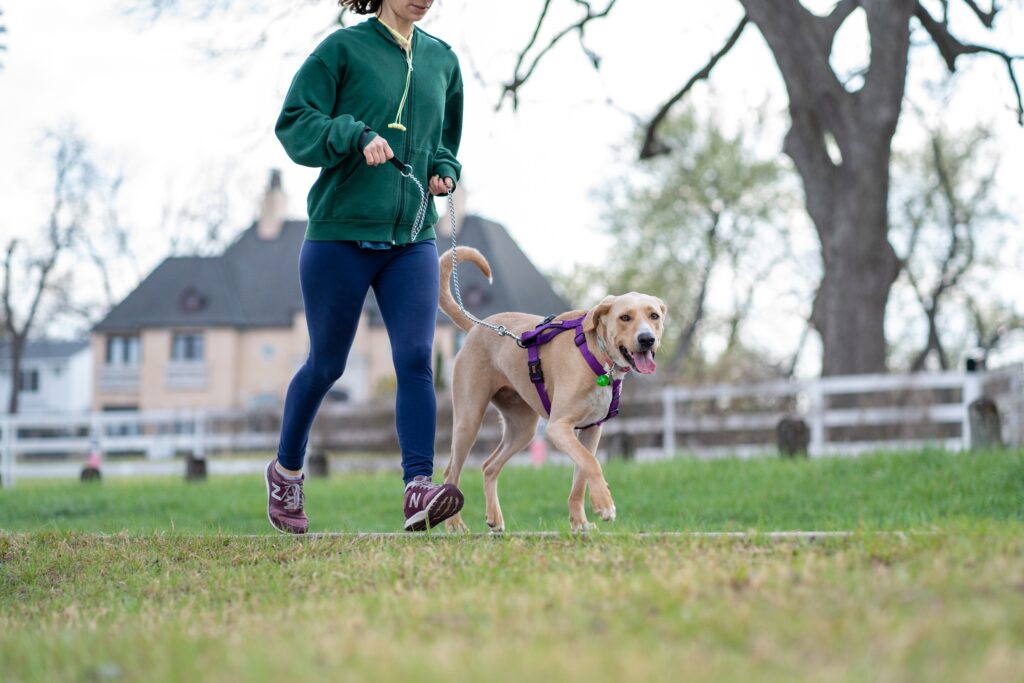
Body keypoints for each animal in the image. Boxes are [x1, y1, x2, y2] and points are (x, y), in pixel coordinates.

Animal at [438, 246, 663, 532]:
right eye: (625, 317)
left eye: (654, 316)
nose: (647, 339)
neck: (596, 355)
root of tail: (478, 326)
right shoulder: (558, 427)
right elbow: (591, 463)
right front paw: (604, 504)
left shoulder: (591, 431)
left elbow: (580, 477)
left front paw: (580, 523)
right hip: (468, 420)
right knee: (450, 471)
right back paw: (454, 524)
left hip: (522, 429)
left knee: (489, 466)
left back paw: (495, 519)